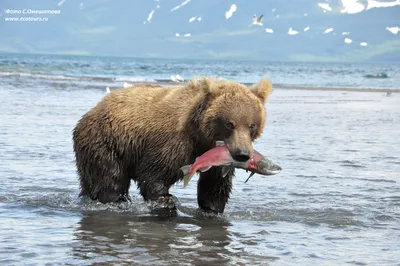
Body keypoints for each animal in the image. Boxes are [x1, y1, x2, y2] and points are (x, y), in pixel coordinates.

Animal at [71, 77, 272, 216]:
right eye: (230, 124)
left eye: (252, 125)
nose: (242, 154)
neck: (200, 136)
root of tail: (89, 113)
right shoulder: (174, 143)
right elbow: (154, 173)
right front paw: (166, 200)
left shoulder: (216, 158)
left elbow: (214, 185)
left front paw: (212, 209)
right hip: (106, 141)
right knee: (109, 179)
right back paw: (115, 201)